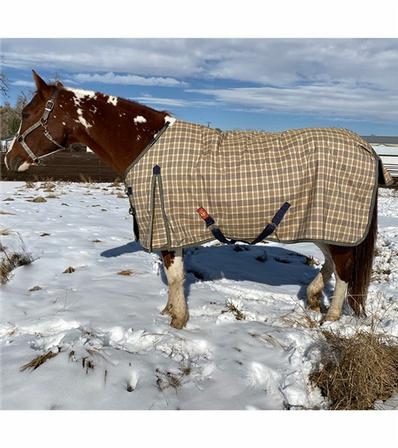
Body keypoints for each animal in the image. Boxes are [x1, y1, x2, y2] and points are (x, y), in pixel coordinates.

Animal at [3, 71, 388, 328]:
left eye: (26, 114)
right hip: (323, 223)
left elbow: (174, 276)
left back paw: (332, 317)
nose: (8, 159)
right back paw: (313, 296)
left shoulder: (167, 225)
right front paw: (169, 312)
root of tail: (366, 146)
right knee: (333, 262)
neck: (147, 144)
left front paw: (178, 319)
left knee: (344, 270)